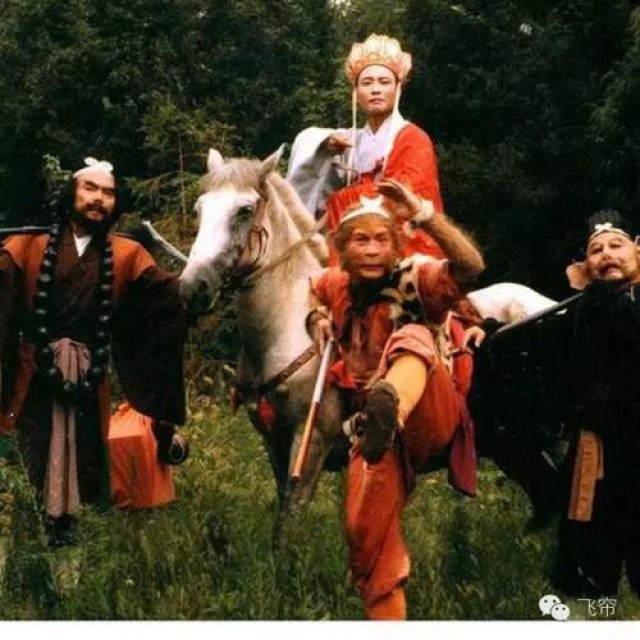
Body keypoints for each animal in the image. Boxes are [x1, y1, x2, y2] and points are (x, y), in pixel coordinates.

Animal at [179, 147, 572, 527]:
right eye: (199, 209)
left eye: (244, 210)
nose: (193, 288)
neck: (286, 331)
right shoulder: (274, 442)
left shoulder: (311, 443)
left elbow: (291, 517)